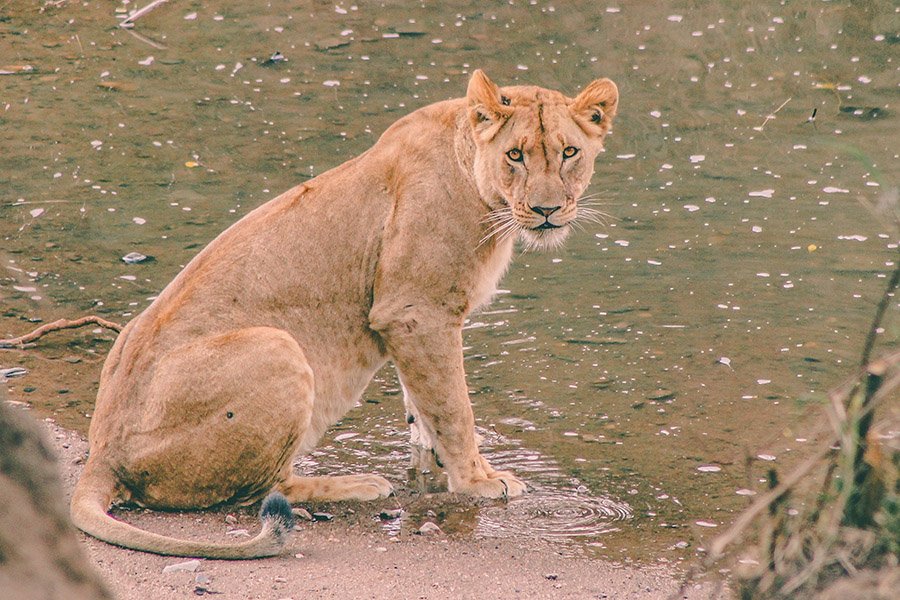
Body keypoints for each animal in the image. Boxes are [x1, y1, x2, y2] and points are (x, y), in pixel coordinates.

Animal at [70, 69, 619, 559]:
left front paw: (436, 461)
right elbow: (454, 405)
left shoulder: (411, 319)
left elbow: (424, 403)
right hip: (278, 347)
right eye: (515, 155)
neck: (481, 189)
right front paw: (479, 480)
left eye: (569, 153)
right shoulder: (417, 309)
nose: (547, 210)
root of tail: (102, 454)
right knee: (260, 493)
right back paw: (356, 484)